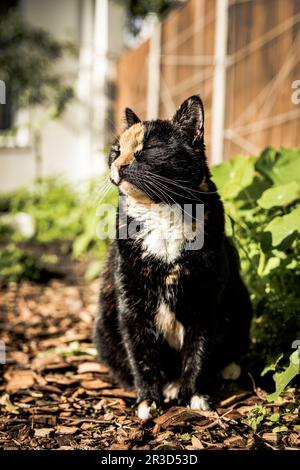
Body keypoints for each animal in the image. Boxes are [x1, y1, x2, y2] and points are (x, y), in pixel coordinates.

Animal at [95, 95, 252, 418]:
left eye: (147, 149)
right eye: (115, 151)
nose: (117, 164)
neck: (162, 214)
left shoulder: (205, 301)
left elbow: (199, 351)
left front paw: (194, 395)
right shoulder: (131, 306)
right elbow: (141, 355)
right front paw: (148, 400)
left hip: (241, 300)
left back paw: (227, 369)